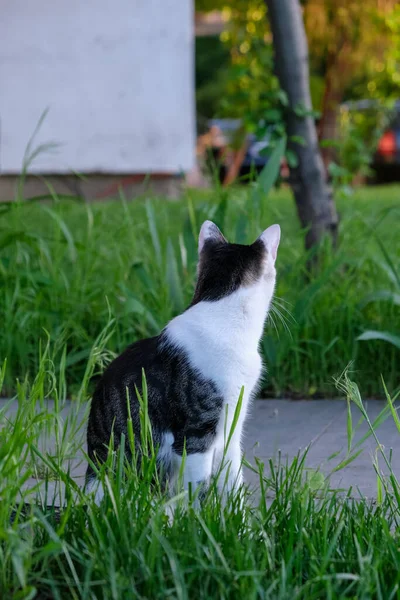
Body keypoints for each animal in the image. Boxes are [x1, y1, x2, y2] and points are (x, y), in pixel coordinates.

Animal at [86, 219, 280, 502]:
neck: (222, 314)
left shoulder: (231, 431)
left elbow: (233, 482)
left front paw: (236, 515)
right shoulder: (196, 435)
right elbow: (198, 488)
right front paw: (201, 514)